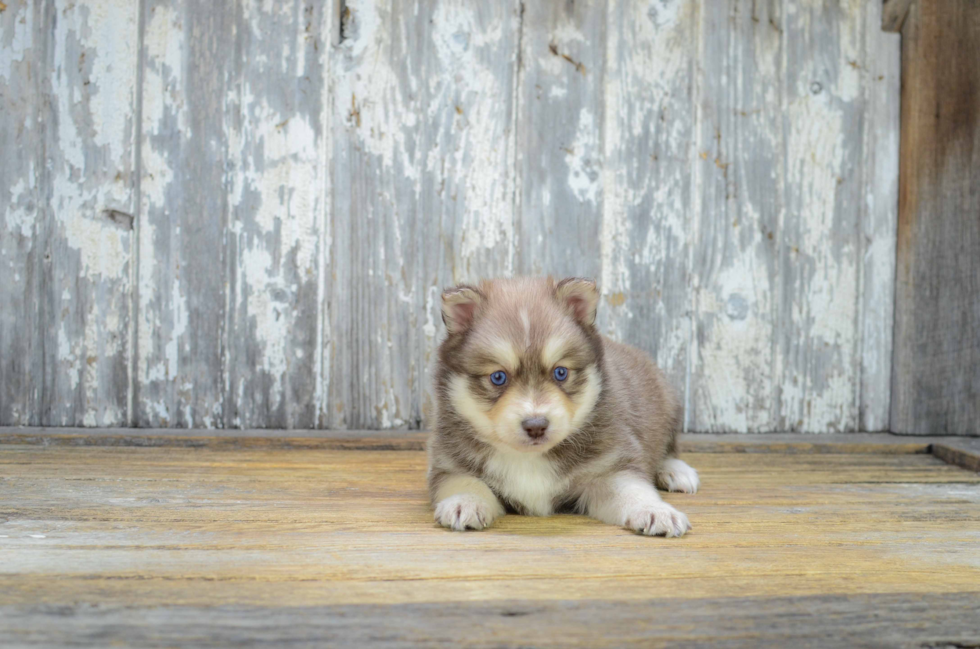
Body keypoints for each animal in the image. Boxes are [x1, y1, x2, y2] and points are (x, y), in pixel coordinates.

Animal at [426, 276, 696, 536]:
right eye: (498, 377)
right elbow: (466, 482)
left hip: (668, 404)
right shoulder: (449, 465)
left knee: (669, 448)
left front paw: (655, 511)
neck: (528, 459)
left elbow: (632, 490)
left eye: (560, 372)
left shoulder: (609, 468)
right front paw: (464, 502)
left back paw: (676, 472)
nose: (536, 426)